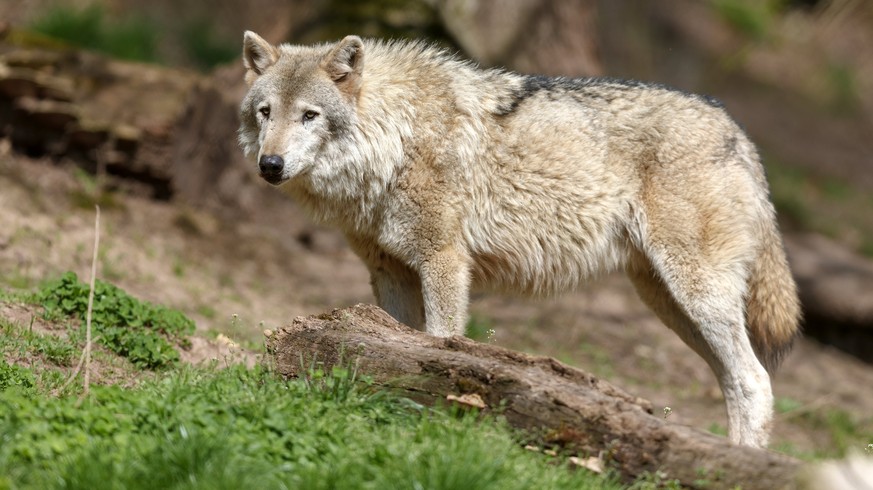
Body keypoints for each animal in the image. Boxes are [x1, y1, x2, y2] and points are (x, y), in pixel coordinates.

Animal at [237, 30, 796, 448]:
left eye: (309, 115)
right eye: (266, 112)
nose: (270, 165)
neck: (395, 138)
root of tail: (737, 130)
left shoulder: (443, 262)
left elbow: (439, 345)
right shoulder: (390, 273)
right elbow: (397, 348)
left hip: (696, 294)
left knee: (755, 381)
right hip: (669, 304)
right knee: (736, 381)